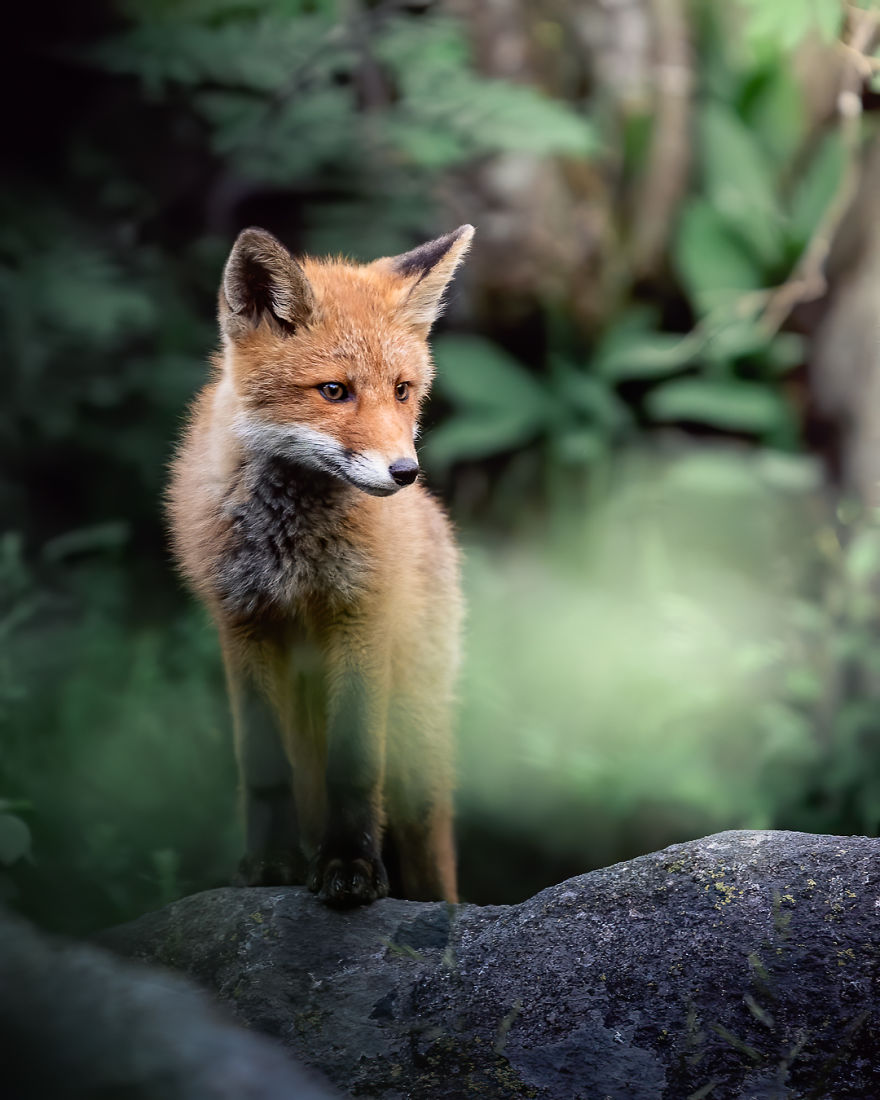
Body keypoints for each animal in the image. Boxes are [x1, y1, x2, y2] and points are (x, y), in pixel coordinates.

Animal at [167, 223, 474, 906]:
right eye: (335, 390)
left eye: (402, 391)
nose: (405, 473)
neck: (293, 549)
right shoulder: (243, 625)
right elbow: (263, 772)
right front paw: (268, 866)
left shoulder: (359, 618)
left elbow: (355, 769)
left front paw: (351, 867)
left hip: (415, 735)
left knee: (431, 846)